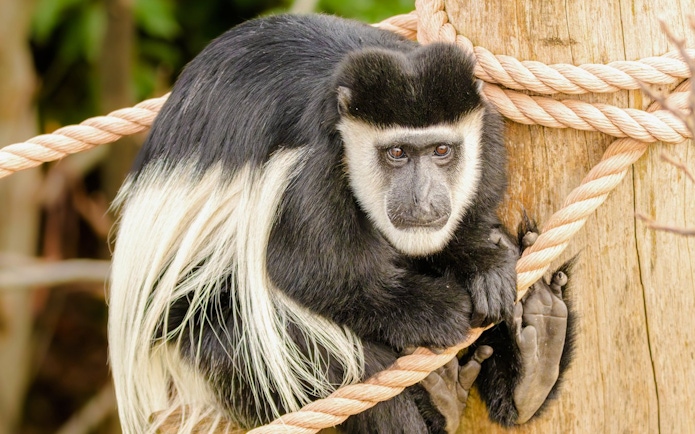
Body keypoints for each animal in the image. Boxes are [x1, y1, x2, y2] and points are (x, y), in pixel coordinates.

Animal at [108, 13, 575, 434]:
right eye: (397, 154)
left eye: (441, 151)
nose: (423, 199)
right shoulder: (310, 172)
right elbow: (312, 272)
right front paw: (438, 312)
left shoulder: (486, 138)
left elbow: (471, 225)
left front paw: (486, 266)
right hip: (206, 340)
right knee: (323, 355)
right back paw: (443, 395)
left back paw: (535, 355)